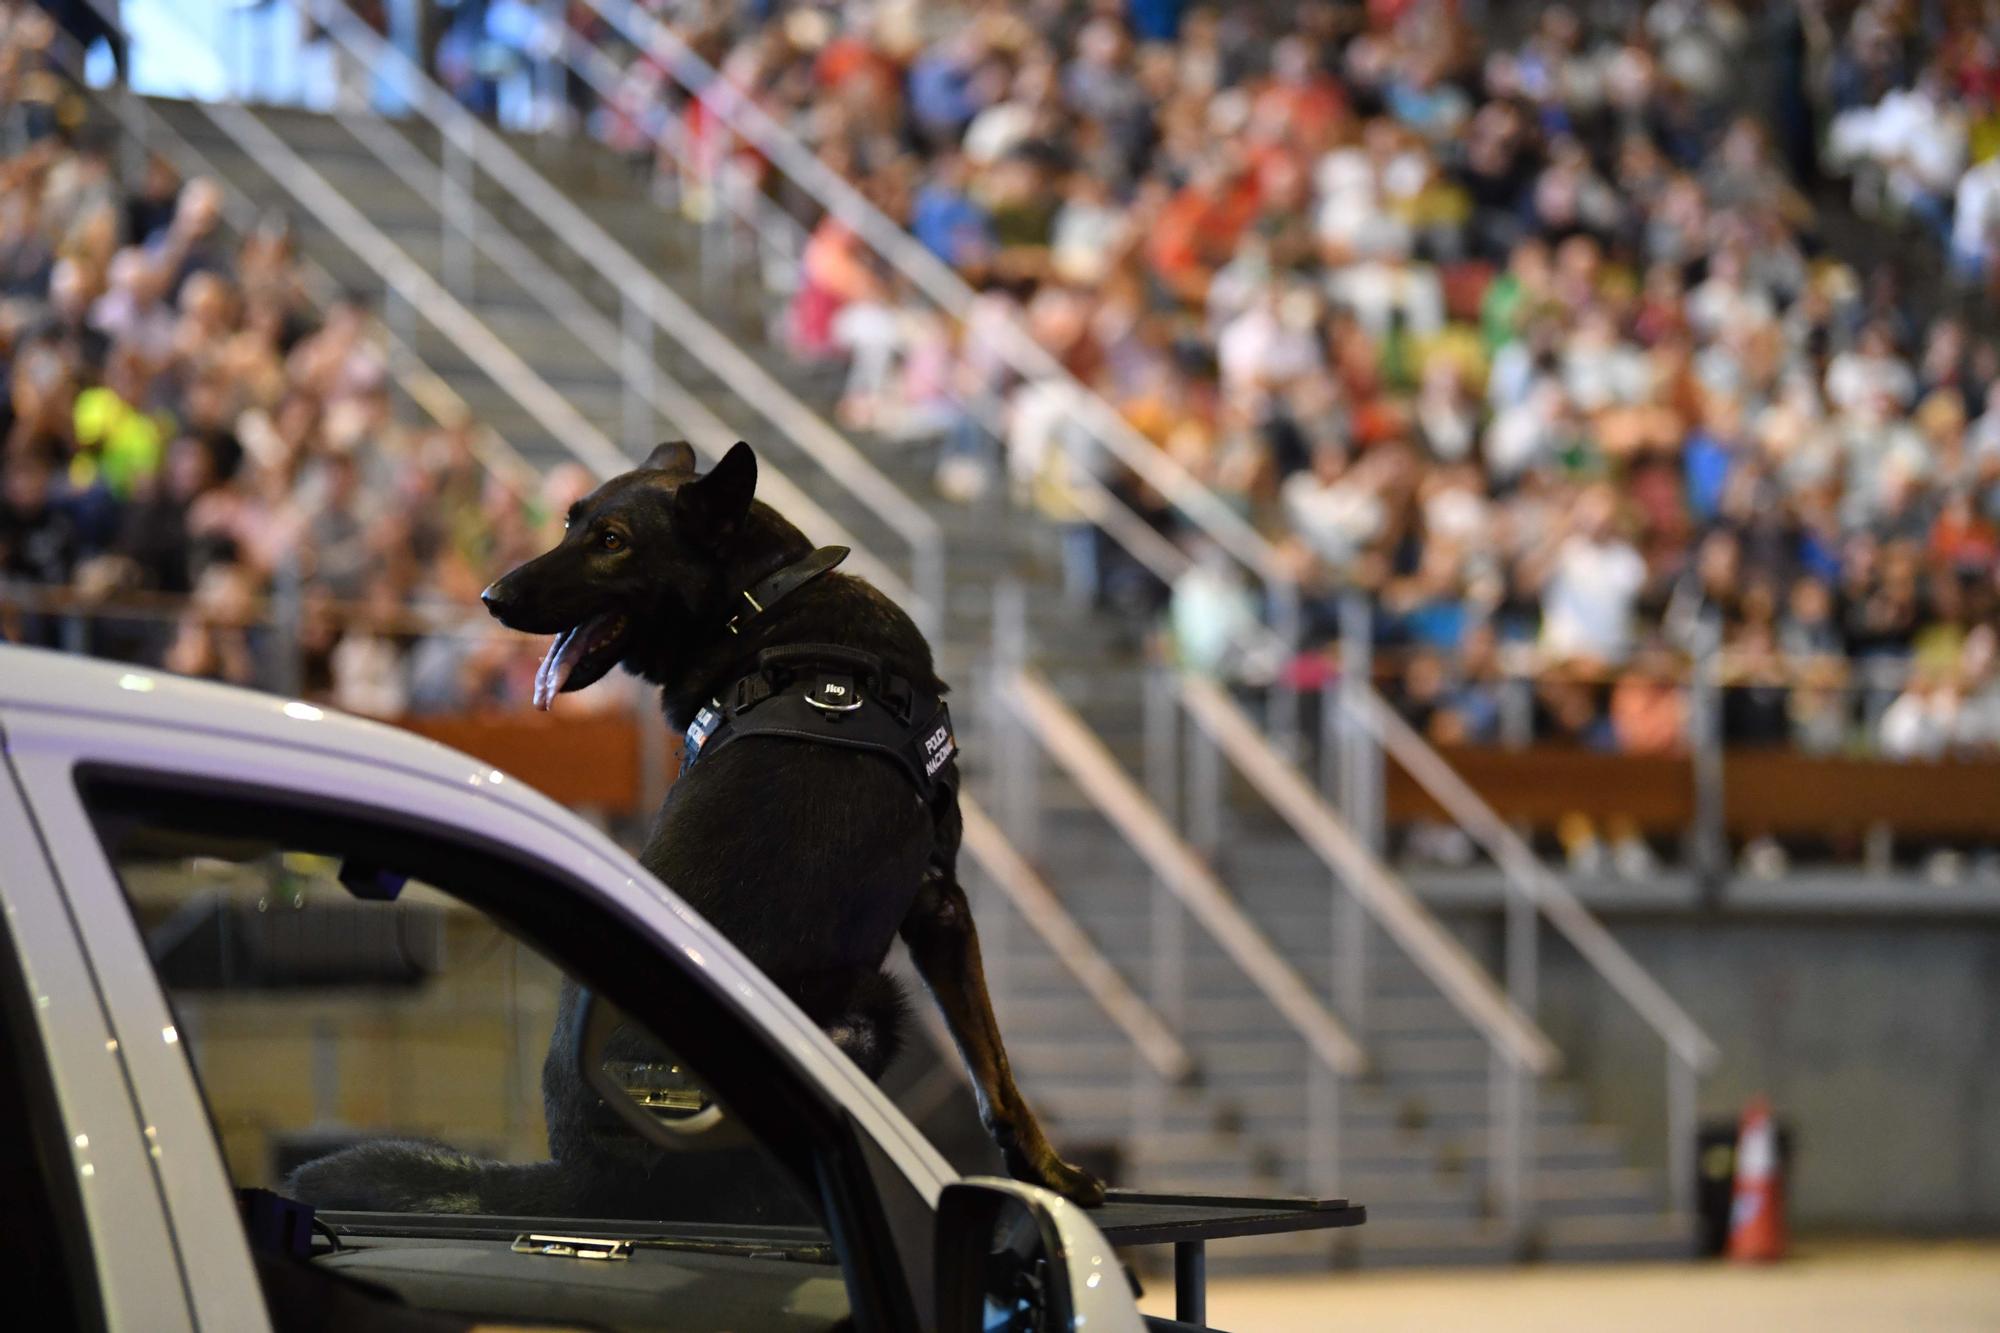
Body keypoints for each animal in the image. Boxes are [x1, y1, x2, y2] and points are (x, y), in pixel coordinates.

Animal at [292, 440, 1112, 1208]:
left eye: (610, 538)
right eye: (568, 524)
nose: (493, 597)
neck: (761, 602)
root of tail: (586, 1174)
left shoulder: (938, 904)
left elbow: (994, 1069)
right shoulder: (942, 903)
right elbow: (995, 1074)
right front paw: (1048, 1176)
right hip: (870, 1007)